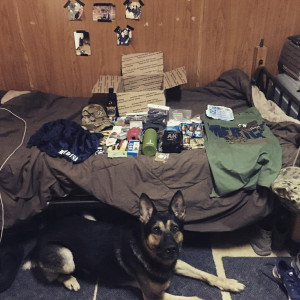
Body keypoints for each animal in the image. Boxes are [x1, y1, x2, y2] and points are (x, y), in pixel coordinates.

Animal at [23, 192, 244, 300]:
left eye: (174, 228)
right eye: (156, 230)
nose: (172, 249)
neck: (148, 252)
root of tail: (42, 234)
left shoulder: (177, 263)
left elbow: (206, 274)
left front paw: (228, 283)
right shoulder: (153, 296)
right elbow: (194, 299)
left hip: (88, 216)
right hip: (67, 258)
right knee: (49, 273)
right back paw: (69, 280)